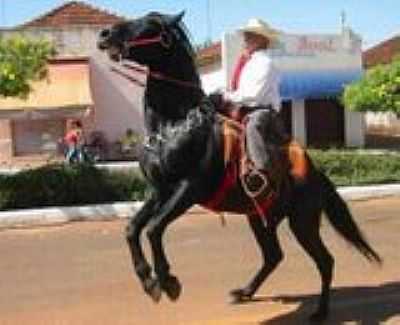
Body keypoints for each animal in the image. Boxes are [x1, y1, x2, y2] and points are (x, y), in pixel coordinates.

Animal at [97, 12, 382, 322]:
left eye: (151, 24)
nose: (104, 35)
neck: (173, 126)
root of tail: (317, 174)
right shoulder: (160, 190)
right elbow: (132, 229)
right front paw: (149, 281)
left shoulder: (188, 189)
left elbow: (153, 228)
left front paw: (168, 282)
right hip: (259, 218)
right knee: (273, 256)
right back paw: (244, 292)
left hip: (303, 222)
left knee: (324, 260)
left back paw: (320, 311)